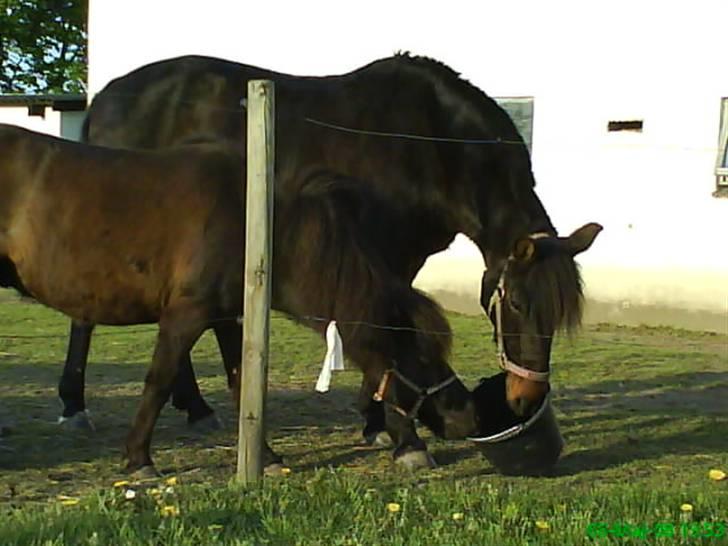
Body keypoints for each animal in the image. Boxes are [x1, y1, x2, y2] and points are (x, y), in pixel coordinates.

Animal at [0, 123, 480, 472]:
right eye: (421, 355)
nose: (465, 415)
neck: (257, 225)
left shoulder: (226, 315)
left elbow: (239, 382)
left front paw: (264, 458)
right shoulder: (187, 313)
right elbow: (159, 380)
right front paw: (138, 459)